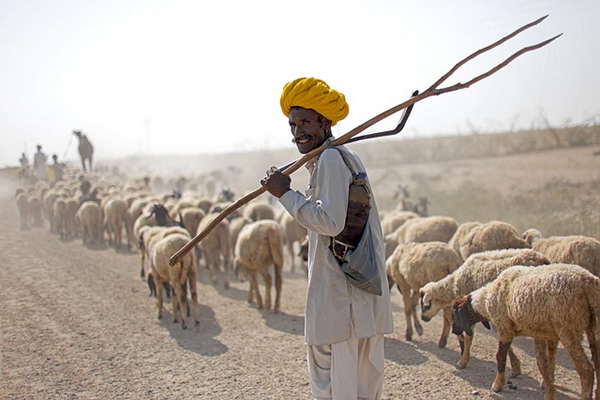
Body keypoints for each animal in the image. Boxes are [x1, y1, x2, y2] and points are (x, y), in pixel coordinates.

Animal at [420, 248, 552, 370]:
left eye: (425, 305)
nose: (423, 318)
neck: (453, 285)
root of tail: (543, 259)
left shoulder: (470, 311)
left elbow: (469, 337)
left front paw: (463, 362)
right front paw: (515, 366)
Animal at [452, 264, 600, 398]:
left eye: (455, 313)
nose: (453, 330)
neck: (486, 300)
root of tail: (588, 284)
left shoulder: (505, 328)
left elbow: (500, 356)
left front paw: (497, 385)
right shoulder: (543, 334)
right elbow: (545, 362)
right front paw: (548, 387)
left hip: (568, 328)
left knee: (586, 370)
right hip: (593, 327)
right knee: (597, 364)